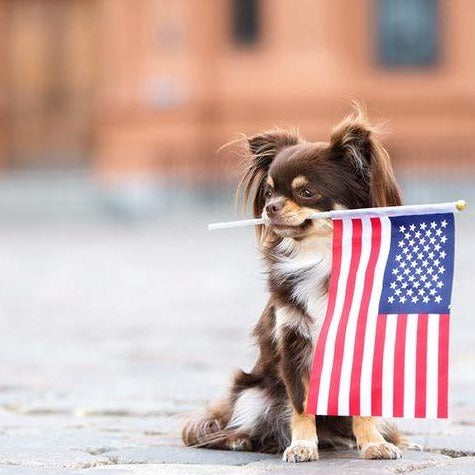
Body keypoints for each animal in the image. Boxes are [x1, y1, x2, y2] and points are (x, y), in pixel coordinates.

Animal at [182, 107, 410, 462]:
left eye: (306, 192)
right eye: (269, 192)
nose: (270, 207)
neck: (321, 255)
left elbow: (361, 407)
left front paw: (373, 443)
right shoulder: (292, 344)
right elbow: (301, 405)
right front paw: (302, 446)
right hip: (252, 393)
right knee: (241, 422)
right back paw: (244, 440)